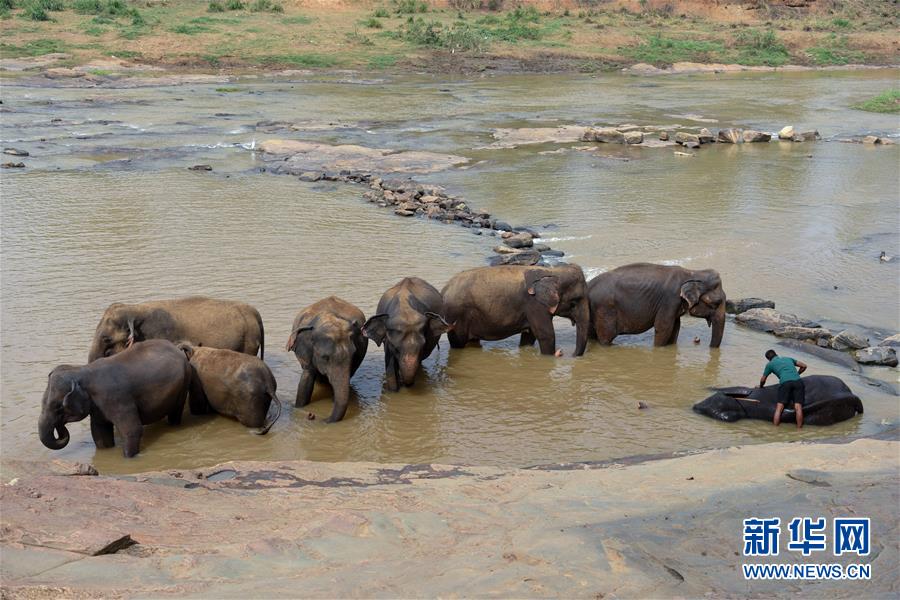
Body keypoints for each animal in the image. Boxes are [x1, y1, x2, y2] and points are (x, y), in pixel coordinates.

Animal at [38, 338, 190, 460]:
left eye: (58, 407)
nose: (60, 426)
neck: (82, 371)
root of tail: (176, 347)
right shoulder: (96, 406)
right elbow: (99, 432)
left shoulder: (117, 399)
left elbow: (132, 430)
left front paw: (128, 459)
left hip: (183, 385)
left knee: (175, 413)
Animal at [442, 264, 592, 356]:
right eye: (574, 302)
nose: (566, 353)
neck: (553, 272)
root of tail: (444, 289)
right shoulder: (534, 304)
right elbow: (546, 335)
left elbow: (529, 336)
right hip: (456, 316)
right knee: (458, 342)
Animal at [588, 264, 728, 352]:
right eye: (715, 303)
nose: (698, 341)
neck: (692, 272)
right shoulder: (670, 300)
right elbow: (663, 328)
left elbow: (675, 328)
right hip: (605, 310)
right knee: (606, 338)